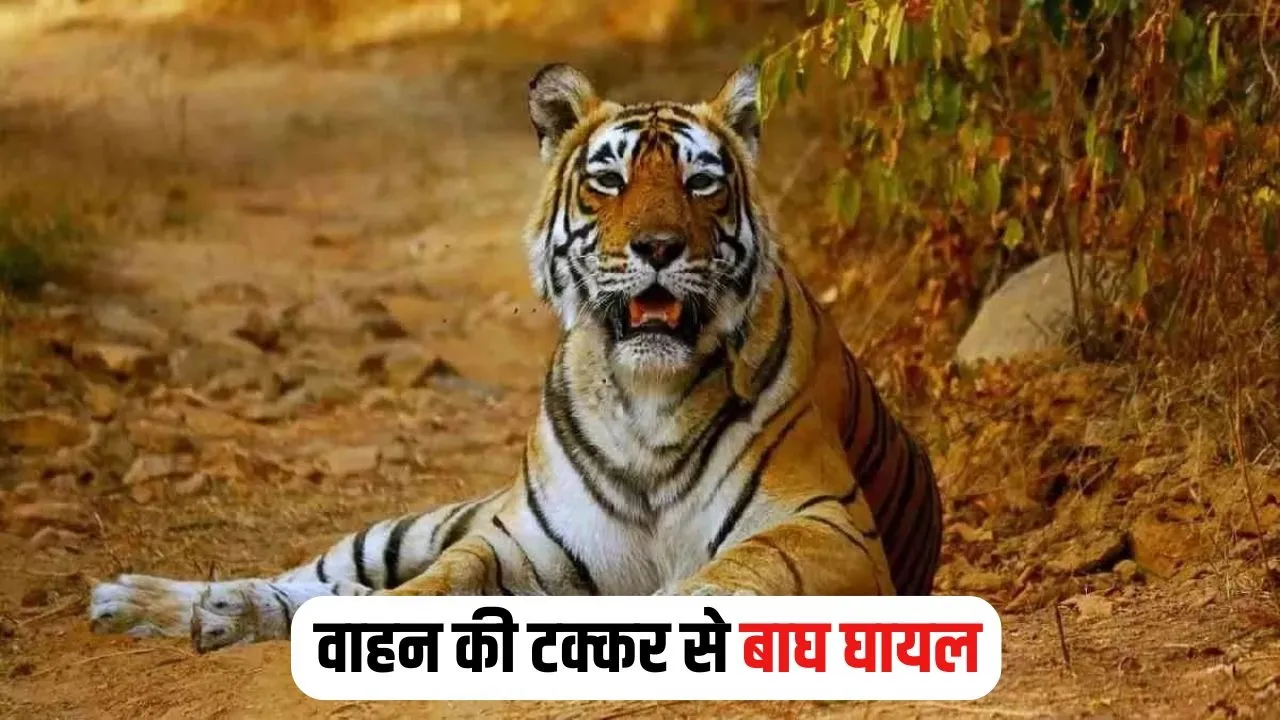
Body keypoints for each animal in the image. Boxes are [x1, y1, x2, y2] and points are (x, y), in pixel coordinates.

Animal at [87, 63, 943, 653]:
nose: (658, 247)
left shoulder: (827, 526)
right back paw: (158, 602)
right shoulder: (518, 540)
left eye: (702, 183)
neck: (647, 396)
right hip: (412, 525)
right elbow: (445, 578)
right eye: (609, 180)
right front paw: (378, 614)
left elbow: (724, 579)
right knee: (311, 574)